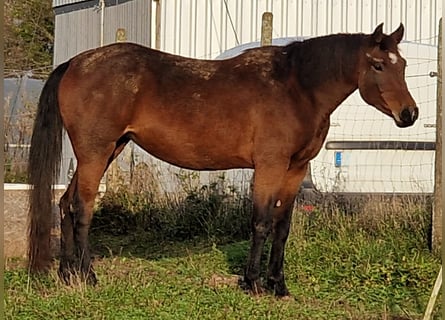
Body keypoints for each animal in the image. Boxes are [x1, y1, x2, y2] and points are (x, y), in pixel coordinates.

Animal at [27, 23, 416, 296]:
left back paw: (66, 275)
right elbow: (261, 222)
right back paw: (88, 275)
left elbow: (282, 227)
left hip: (108, 150)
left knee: (65, 203)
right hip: (96, 153)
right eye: (377, 65)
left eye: (403, 65)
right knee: (82, 208)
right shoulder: (270, 166)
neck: (296, 88)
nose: (409, 114)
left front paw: (278, 284)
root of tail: (75, 63)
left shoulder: (296, 169)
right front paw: (253, 283)